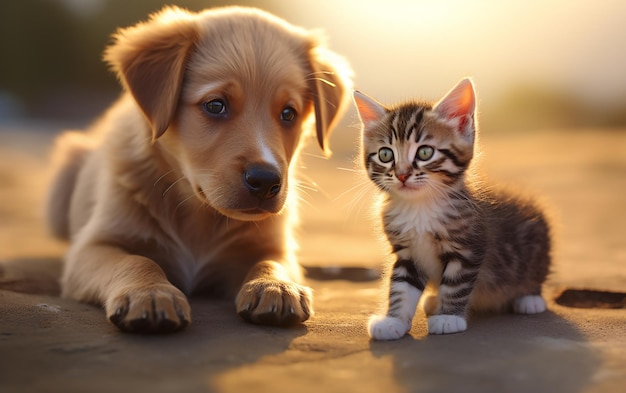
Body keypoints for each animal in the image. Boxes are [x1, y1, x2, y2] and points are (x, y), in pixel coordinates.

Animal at [46, 5, 352, 330]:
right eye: (215, 105)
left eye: (288, 113)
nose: (265, 182)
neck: (199, 215)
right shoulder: (94, 246)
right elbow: (136, 260)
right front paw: (150, 292)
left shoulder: (274, 245)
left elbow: (271, 261)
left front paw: (276, 286)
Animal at [354, 79, 548, 340]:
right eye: (386, 154)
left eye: (425, 152)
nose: (402, 174)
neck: (420, 207)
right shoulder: (406, 253)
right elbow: (401, 287)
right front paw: (393, 321)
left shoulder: (467, 248)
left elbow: (456, 285)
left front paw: (448, 318)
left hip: (535, 242)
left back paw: (529, 299)